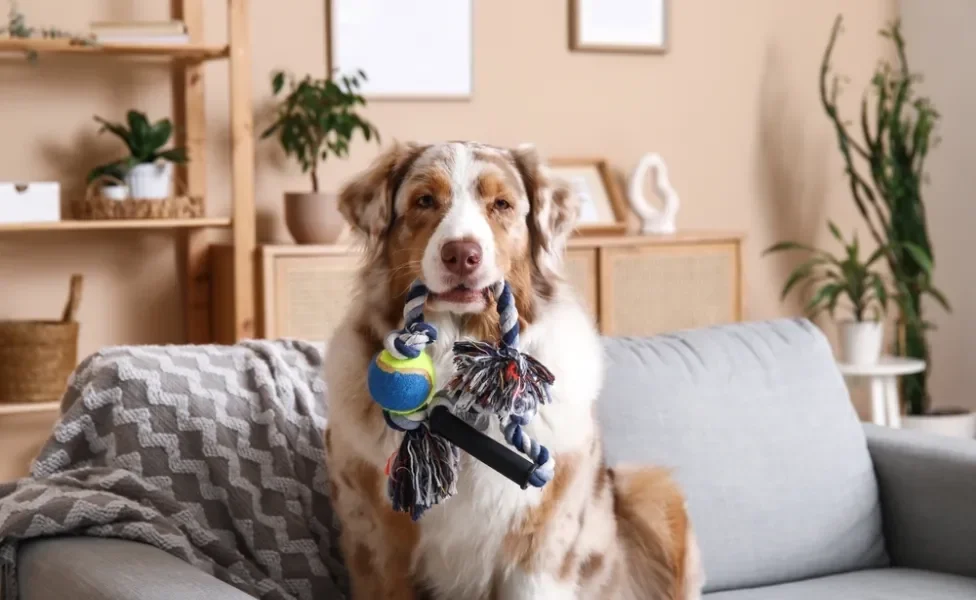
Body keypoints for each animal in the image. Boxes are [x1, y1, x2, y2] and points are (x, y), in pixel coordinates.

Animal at [324, 142, 704, 600]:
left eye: (501, 204)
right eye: (424, 200)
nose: (462, 255)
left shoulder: (541, 546)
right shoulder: (375, 545)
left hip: (650, 490)